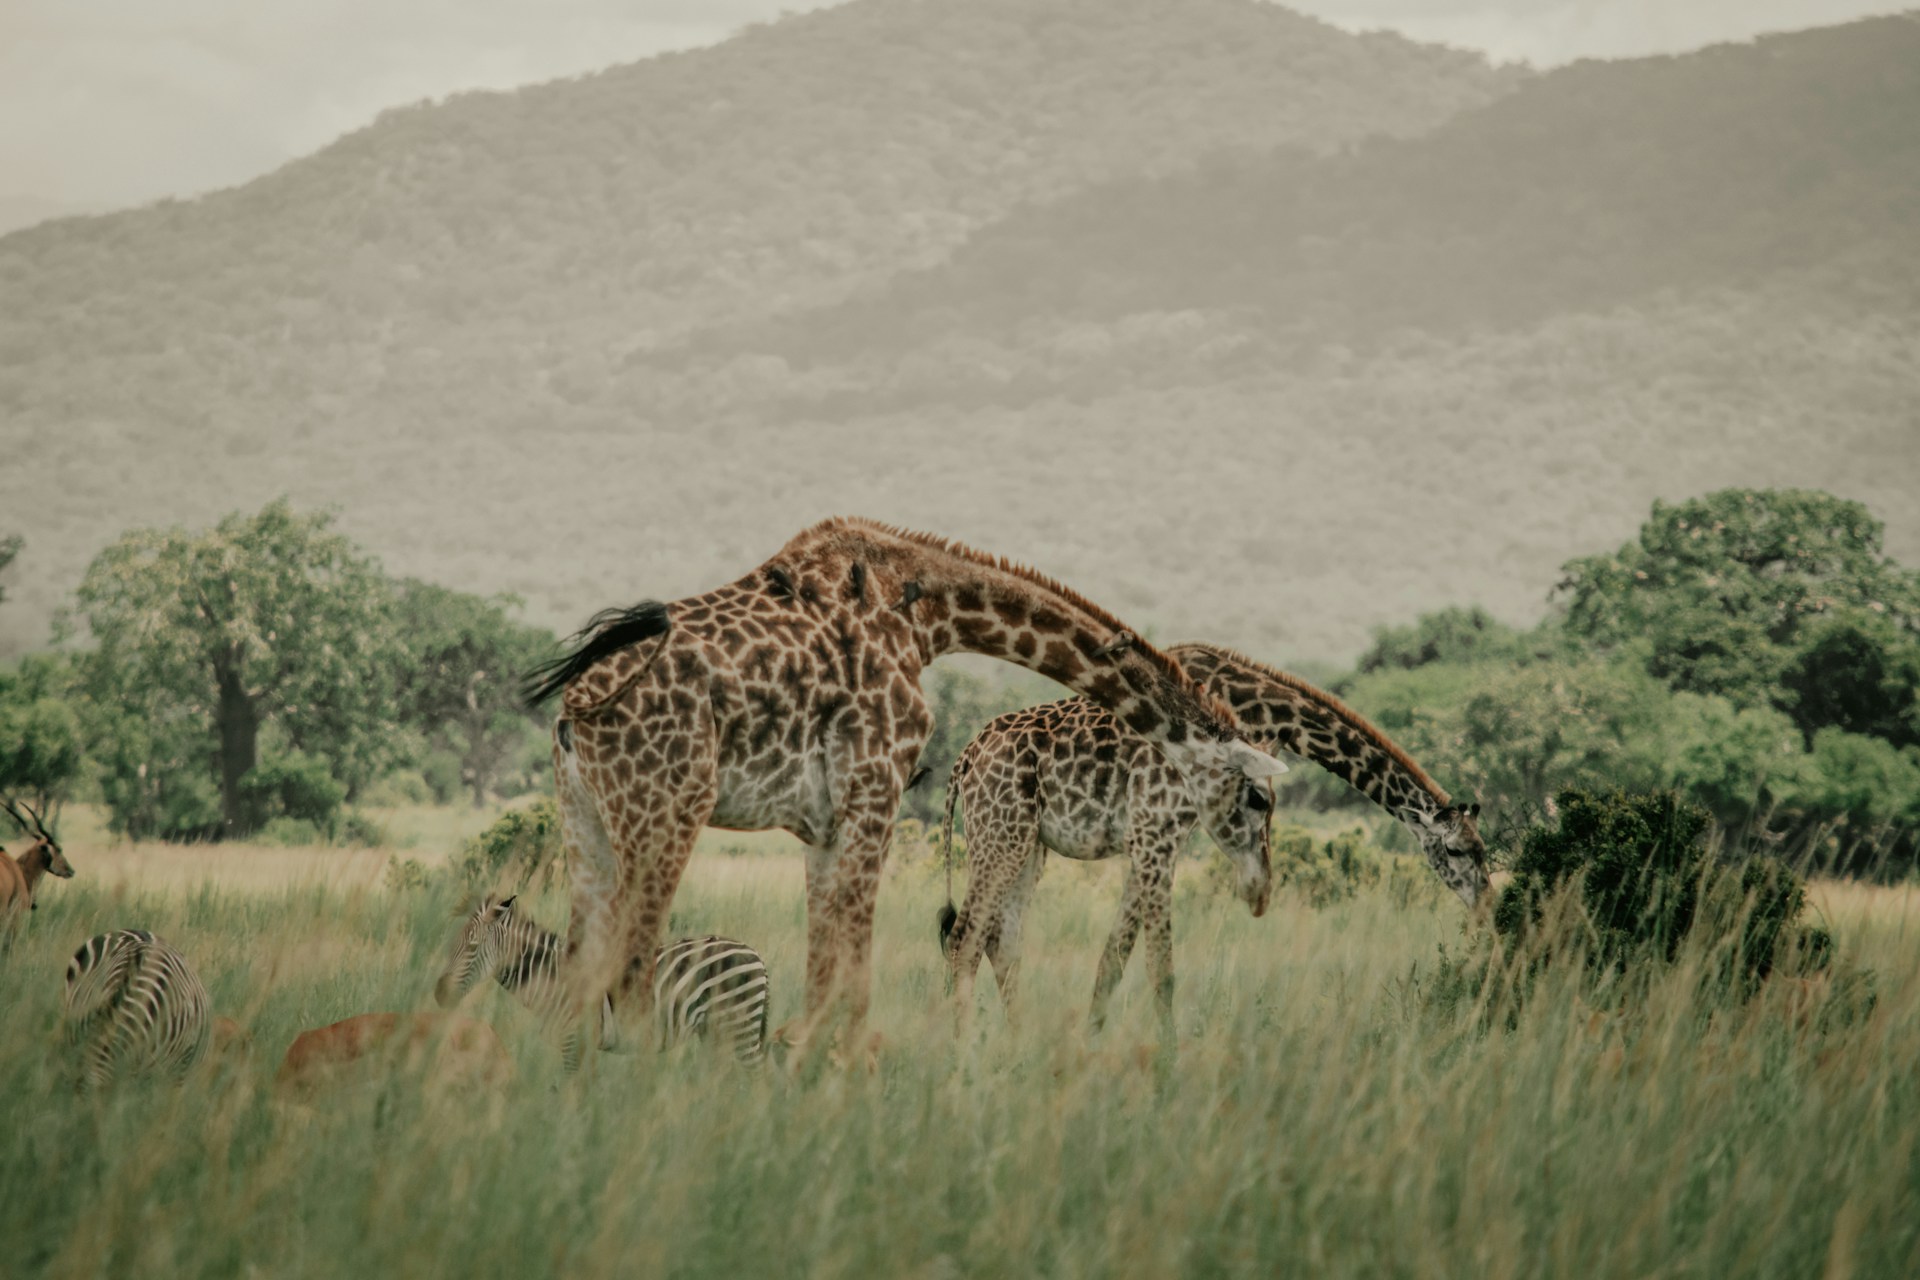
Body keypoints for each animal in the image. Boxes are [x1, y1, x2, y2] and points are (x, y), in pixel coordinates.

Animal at [435, 896, 770, 1066]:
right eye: (452, 944)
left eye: (472, 946)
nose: (439, 994)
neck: (552, 976)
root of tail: (756, 955)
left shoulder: (574, 1039)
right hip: (718, 1032)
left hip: (738, 1028)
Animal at [937, 698, 1280, 1041]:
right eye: (1258, 799)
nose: (1261, 892)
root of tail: (966, 757)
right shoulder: (1154, 835)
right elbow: (1161, 965)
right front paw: (1169, 1051)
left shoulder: (1149, 844)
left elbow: (1114, 957)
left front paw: (1092, 1039)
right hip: (999, 834)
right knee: (964, 937)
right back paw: (964, 1045)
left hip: (1027, 844)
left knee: (1002, 941)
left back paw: (1018, 1041)